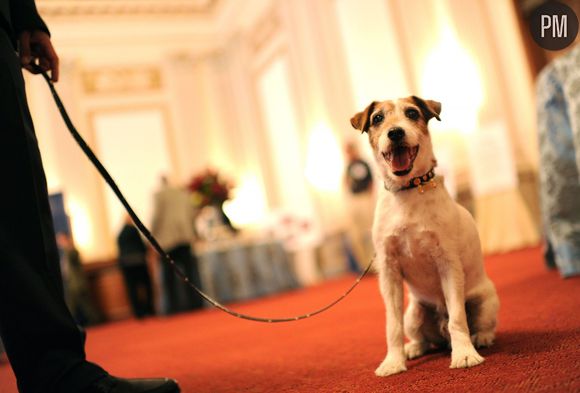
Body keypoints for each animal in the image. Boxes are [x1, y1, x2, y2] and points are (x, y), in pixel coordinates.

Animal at [352, 95, 500, 376]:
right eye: (377, 118)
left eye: (412, 113)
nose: (395, 132)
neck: (407, 191)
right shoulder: (389, 271)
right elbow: (392, 326)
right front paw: (393, 361)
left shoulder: (447, 263)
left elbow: (457, 319)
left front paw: (464, 354)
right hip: (414, 314)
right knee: (423, 337)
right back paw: (414, 348)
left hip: (485, 301)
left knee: (476, 324)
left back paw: (480, 338)